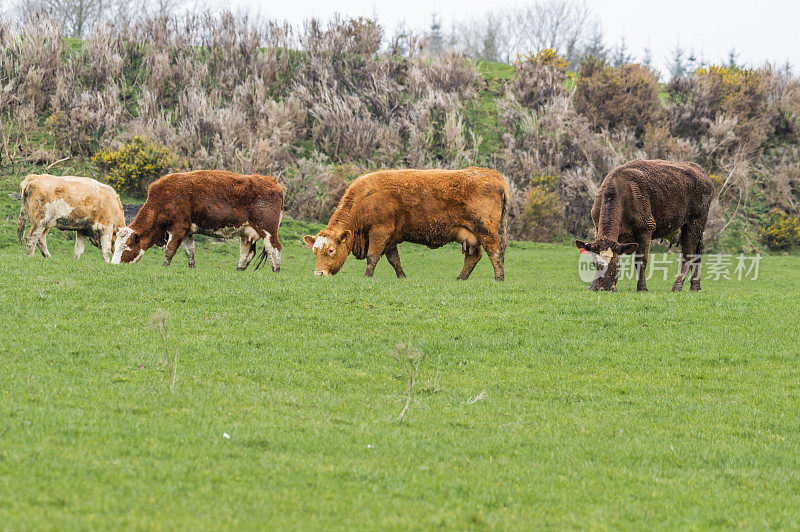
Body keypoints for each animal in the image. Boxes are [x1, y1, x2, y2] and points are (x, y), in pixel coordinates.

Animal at [109, 170, 284, 270]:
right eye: (115, 245)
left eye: (126, 246)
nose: (113, 265)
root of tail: (272, 181)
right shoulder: (187, 231)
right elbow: (190, 252)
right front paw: (191, 269)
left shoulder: (178, 227)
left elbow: (170, 250)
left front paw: (164, 268)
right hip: (247, 232)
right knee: (247, 252)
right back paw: (239, 270)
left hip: (268, 229)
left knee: (274, 249)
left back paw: (275, 271)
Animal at [304, 168, 510, 280]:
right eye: (315, 251)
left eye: (331, 250)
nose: (318, 273)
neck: (365, 198)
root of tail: (493, 174)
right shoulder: (389, 239)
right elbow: (394, 260)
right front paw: (402, 277)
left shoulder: (380, 231)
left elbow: (372, 257)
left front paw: (367, 276)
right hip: (470, 235)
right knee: (473, 257)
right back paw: (460, 278)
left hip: (486, 231)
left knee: (496, 253)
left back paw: (499, 278)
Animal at [576, 159, 712, 290]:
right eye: (595, 264)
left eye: (616, 263)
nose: (605, 287)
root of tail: (701, 171)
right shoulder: (598, 227)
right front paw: (593, 286)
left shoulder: (646, 229)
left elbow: (641, 261)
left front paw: (642, 287)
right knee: (696, 254)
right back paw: (695, 285)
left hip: (695, 223)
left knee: (688, 254)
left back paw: (677, 285)